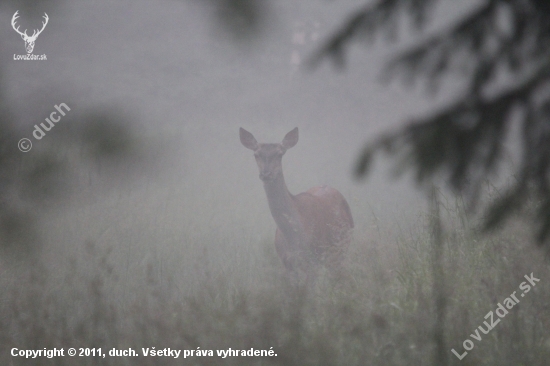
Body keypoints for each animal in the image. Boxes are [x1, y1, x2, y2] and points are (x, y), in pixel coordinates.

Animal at [240, 127, 354, 282]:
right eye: (256, 154)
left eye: (280, 154)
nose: (266, 174)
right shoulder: (286, 262)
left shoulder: (313, 259)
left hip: (341, 248)